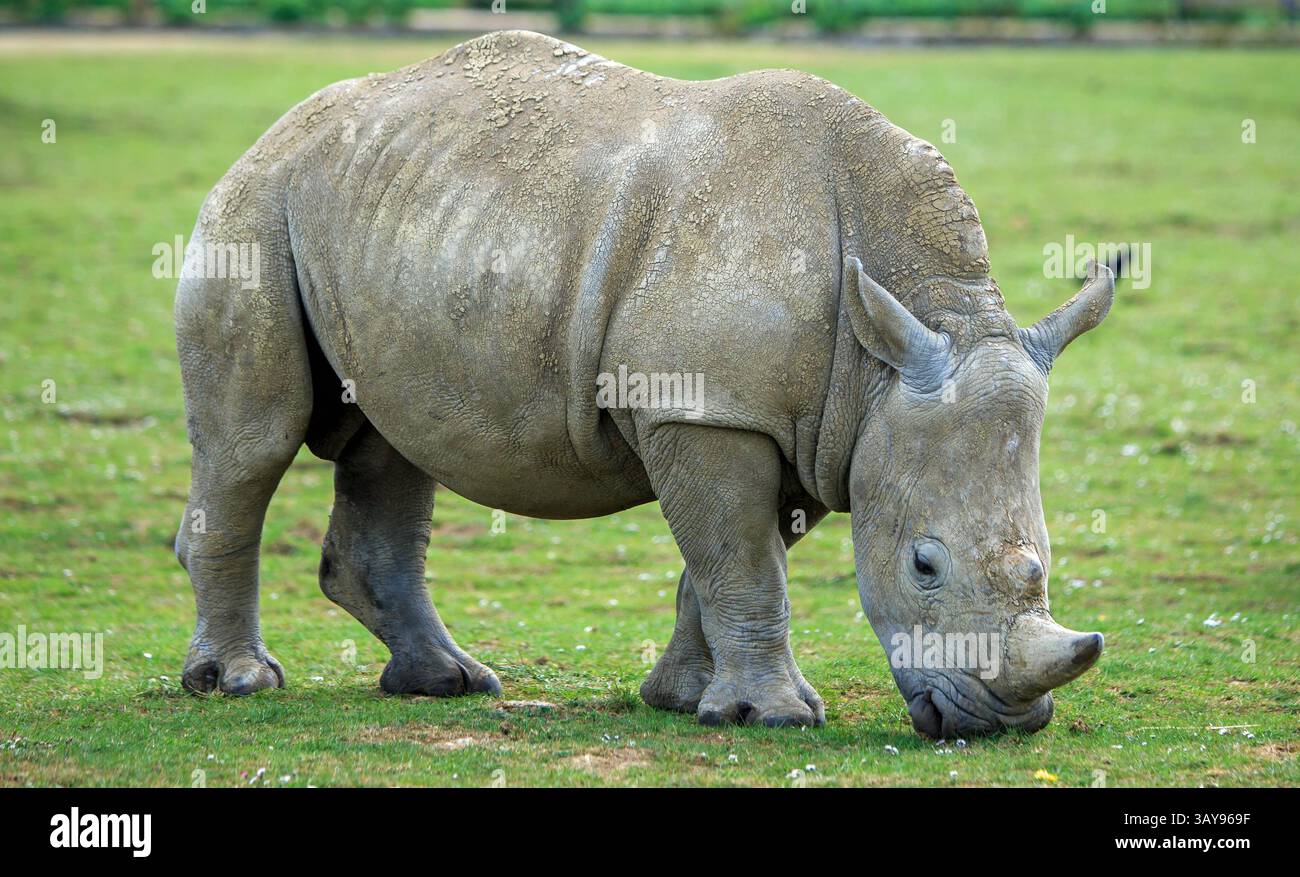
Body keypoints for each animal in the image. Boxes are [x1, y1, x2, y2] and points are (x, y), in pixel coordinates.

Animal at [174, 30, 1112, 737]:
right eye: (924, 565)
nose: (1000, 723)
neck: (882, 352)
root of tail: (282, 128)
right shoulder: (707, 409)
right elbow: (742, 559)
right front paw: (775, 717)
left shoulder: (813, 426)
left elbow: (726, 561)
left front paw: (685, 700)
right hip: (254, 209)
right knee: (255, 442)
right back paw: (239, 682)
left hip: (385, 215)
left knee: (392, 443)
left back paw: (448, 681)